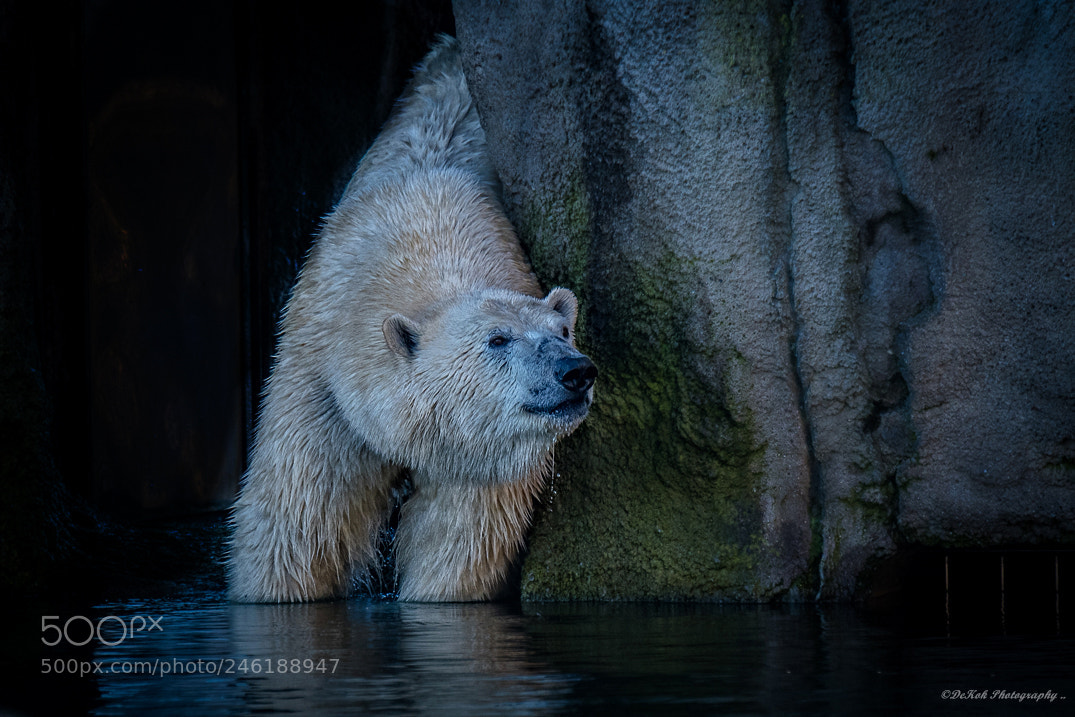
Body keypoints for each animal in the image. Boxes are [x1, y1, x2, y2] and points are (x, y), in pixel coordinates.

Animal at [227, 35, 596, 603]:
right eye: (498, 340)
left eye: (563, 331)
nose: (574, 372)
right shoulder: (321, 382)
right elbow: (299, 517)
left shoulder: (478, 462)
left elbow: (461, 535)